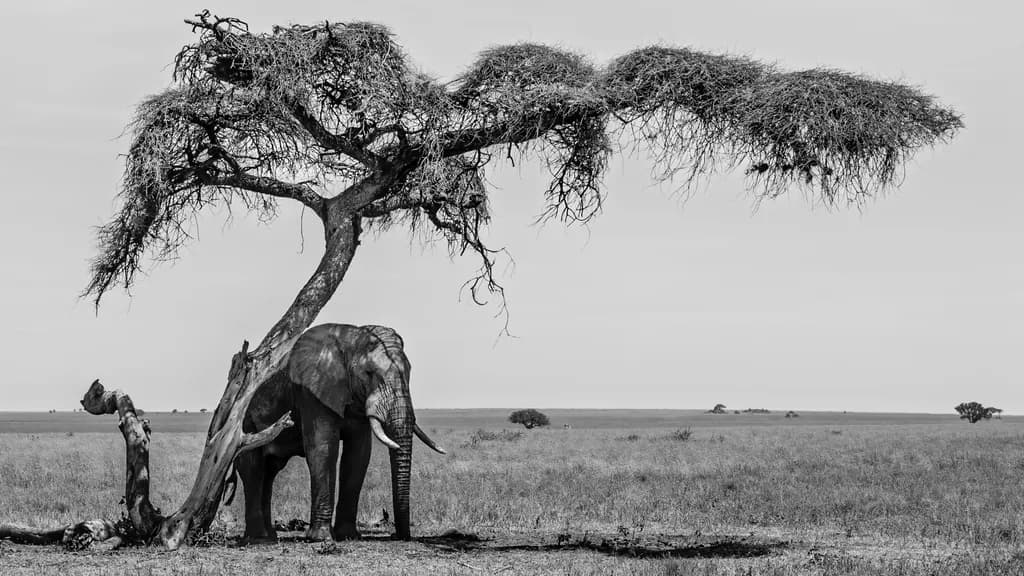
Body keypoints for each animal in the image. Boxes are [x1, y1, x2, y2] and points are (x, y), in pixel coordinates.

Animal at [234, 323, 445, 542]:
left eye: (410, 372)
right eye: (369, 373)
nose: (397, 535)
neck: (351, 339)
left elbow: (358, 455)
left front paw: (348, 536)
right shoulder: (312, 391)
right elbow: (323, 449)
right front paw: (321, 538)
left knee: (269, 472)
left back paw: (269, 536)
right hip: (245, 421)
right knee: (253, 468)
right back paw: (258, 538)